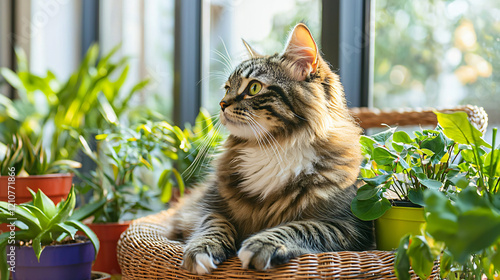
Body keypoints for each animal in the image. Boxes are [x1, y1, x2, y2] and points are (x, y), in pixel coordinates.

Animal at [166, 23, 374, 274]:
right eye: (227, 88)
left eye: (254, 87)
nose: (222, 104)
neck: (271, 146)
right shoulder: (206, 205)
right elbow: (213, 224)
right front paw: (202, 250)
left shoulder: (349, 224)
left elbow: (302, 227)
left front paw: (262, 245)